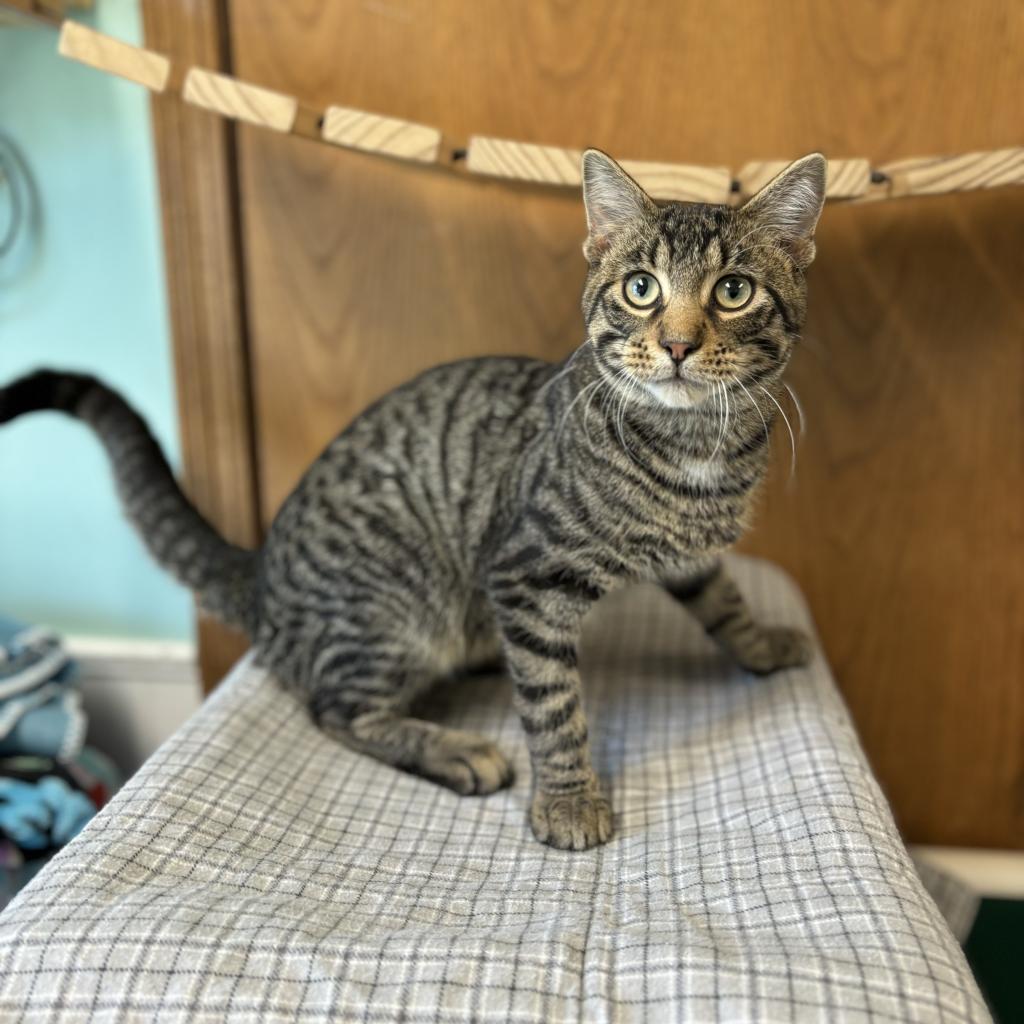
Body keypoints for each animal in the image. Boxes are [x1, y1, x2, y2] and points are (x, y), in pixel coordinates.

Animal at [0, 151, 823, 851]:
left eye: (734, 291)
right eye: (641, 287)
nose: (679, 344)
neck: (697, 449)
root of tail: (261, 574)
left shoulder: (687, 554)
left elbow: (723, 598)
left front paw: (762, 643)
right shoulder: (527, 576)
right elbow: (554, 705)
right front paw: (567, 799)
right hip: (392, 614)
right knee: (335, 708)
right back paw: (454, 749)